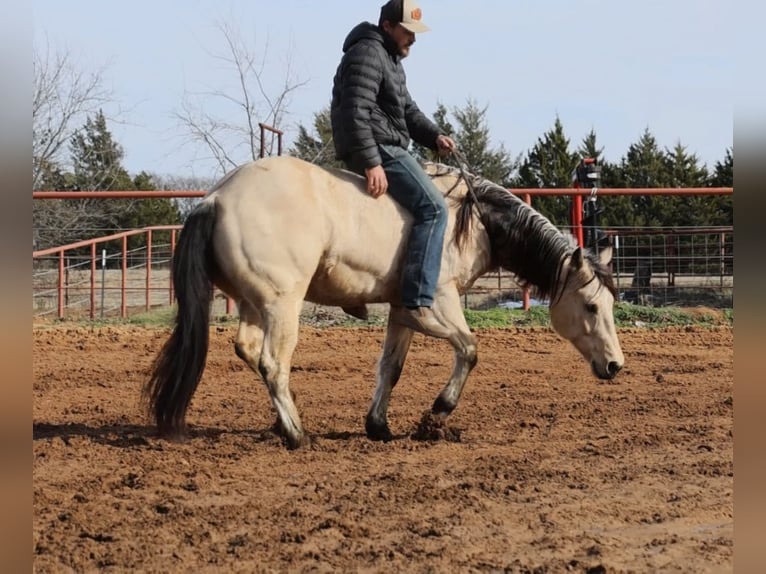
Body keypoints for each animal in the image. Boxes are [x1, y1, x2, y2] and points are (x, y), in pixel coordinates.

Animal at [142, 156, 624, 450]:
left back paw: (284, 421)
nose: (616, 365)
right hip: (283, 305)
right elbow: (469, 350)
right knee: (272, 363)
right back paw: (297, 434)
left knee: (246, 349)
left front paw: (379, 426)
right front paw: (437, 413)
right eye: (591, 307)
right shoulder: (432, 305)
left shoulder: (400, 310)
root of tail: (215, 199)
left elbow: (391, 367)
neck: (474, 219)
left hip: (252, 302)